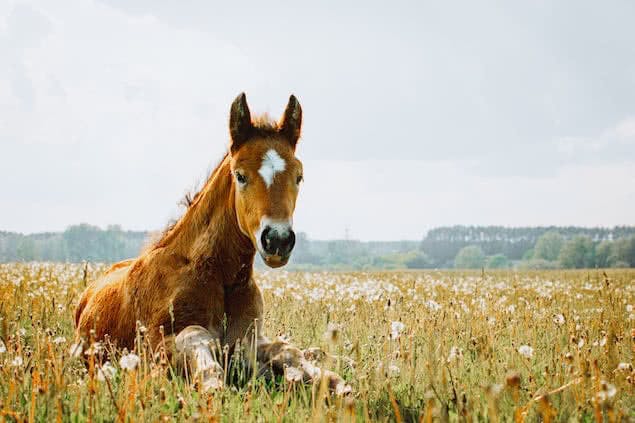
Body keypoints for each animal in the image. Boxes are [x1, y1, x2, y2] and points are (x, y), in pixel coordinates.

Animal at [77, 93, 352, 394]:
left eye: (298, 176)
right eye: (240, 175)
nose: (277, 240)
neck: (218, 275)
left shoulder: (249, 341)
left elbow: (286, 349)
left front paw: (334, 382)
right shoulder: (154, 347)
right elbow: (197, 338)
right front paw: (212, 384)